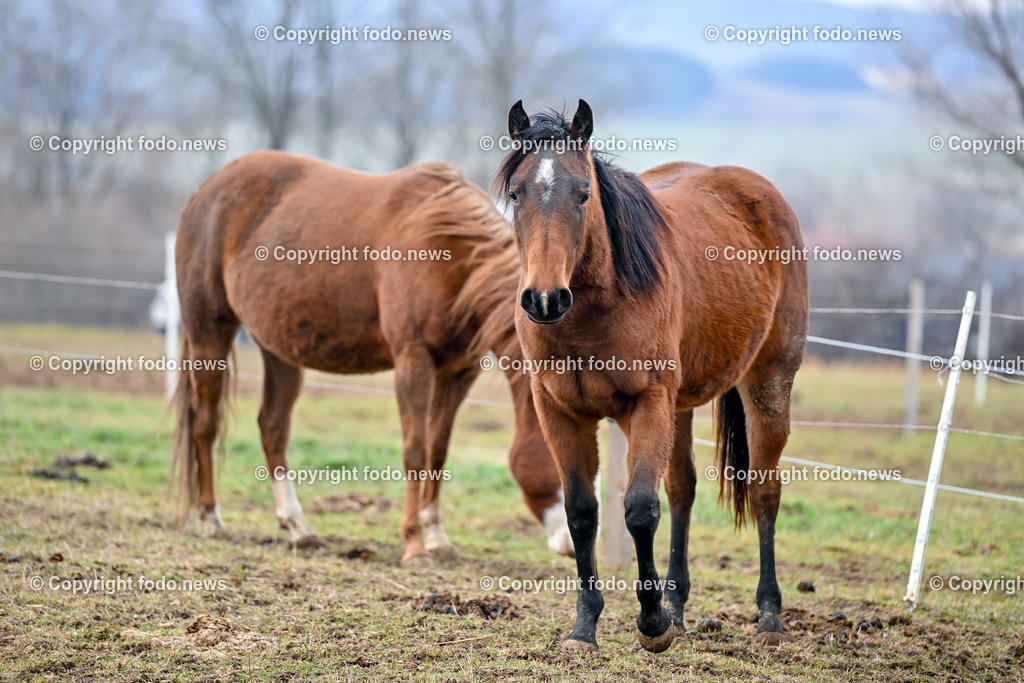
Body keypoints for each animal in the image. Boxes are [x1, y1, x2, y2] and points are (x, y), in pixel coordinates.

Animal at [172, 149, 572, 567]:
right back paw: (211, 518)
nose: (574, 543)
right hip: (209, 332)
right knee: (205, 423)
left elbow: (437, 452)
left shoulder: (458, 372)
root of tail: (206, 190)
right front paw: (414, 546)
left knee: (273, 427)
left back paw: (299, 527)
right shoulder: (413, 362)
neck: (450, 250)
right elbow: (415, 451)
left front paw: (437, 539)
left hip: (279, 349)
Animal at [496, 100, 808, 651]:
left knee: (765, 492)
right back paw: (679, 607)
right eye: (516, 193)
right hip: (681, 406)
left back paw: (768, 617)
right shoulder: (559, 412)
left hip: (768, 383)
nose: (545, 299)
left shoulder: (647, 404)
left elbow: (640, 509)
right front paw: (585, 627)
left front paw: (651, 622)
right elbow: (582, 513)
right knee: (682, 490)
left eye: (583, 194)